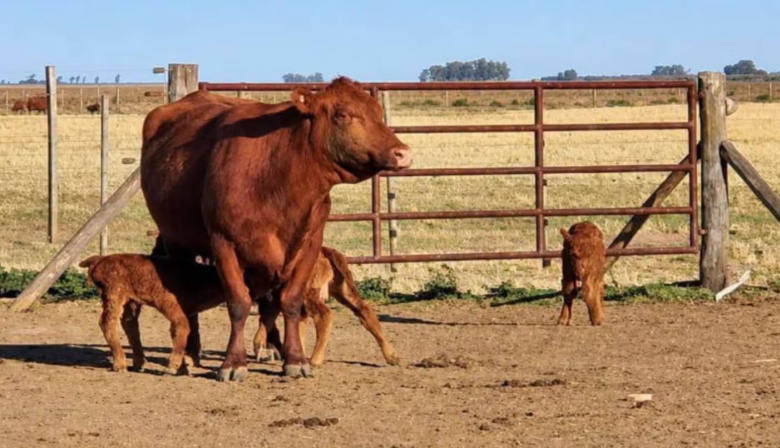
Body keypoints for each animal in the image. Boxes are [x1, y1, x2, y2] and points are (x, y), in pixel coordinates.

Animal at [141, 77, 412, 381]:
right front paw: (233, 363)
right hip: (178, 243)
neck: (279, 178)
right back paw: (190, 352)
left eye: (378, 112)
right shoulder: (223, 243)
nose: (402, 153)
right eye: (342, 115)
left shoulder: (308, 245)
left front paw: (295, 359)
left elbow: (289, 302)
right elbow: (238, 303)